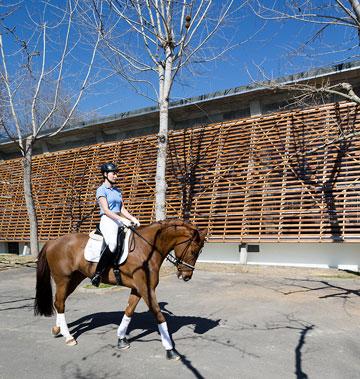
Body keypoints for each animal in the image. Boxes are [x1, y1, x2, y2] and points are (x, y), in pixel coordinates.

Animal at [35, 220, 208, 360]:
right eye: (193, 251)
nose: (186, 276)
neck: (146, 249)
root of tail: (52, 242)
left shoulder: (138, 289)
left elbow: (129, 311)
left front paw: (121, 339)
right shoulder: (146, 288)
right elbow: (159, 315)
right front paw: (171, 350)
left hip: (74, 279)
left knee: (60, 302)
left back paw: (57, 329)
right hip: (63, 279)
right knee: (60, 303)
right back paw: (68, 337)